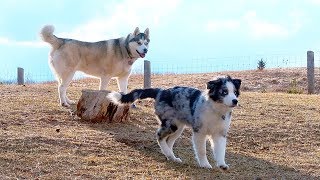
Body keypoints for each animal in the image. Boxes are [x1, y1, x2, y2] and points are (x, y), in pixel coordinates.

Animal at [107, 75, 240, 170]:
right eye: (224, 92)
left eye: (235, 92)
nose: (235, 101)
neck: (216, 109)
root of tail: (161, 91)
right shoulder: (199, 132)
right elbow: (202, 150)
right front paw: (205, 164)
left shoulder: (220, 134)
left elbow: (220, 150)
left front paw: (222, 164)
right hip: (171, 124)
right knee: (159, 136)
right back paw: (168, 154)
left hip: (178, 127)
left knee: (169, 141)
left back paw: (171, 157)